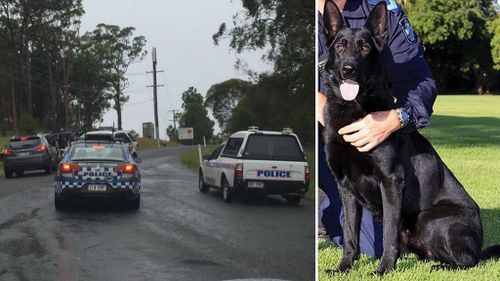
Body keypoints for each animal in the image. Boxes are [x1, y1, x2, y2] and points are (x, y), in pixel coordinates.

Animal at [320, 0, 500, 274]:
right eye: (340, 46)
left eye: (364, 47)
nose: (348, 69)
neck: (353, 110)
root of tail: (478, 245)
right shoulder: (346, 188)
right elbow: (350, 234)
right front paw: (344, 267)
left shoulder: (390, 182)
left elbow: (388, 234)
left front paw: (384, 269)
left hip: (428, 218)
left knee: (468, 261)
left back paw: (443, 267)